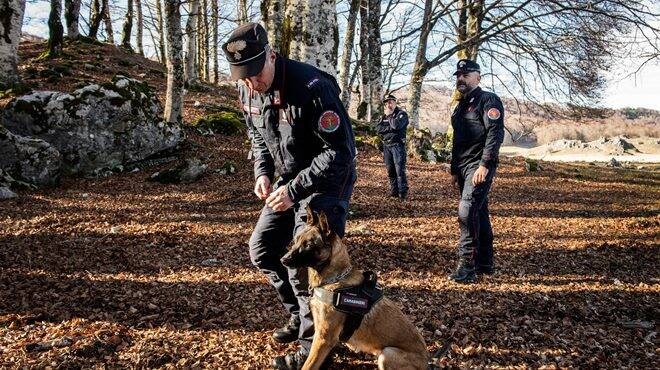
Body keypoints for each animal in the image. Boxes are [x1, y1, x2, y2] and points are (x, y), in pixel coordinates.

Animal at [282, 207, 430, 370]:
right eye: (296, 240)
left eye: (308, 245)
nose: (283, 260)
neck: (334, 279)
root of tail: (427, 362)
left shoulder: (324, 338)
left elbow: (309, 365)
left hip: (387, 354)